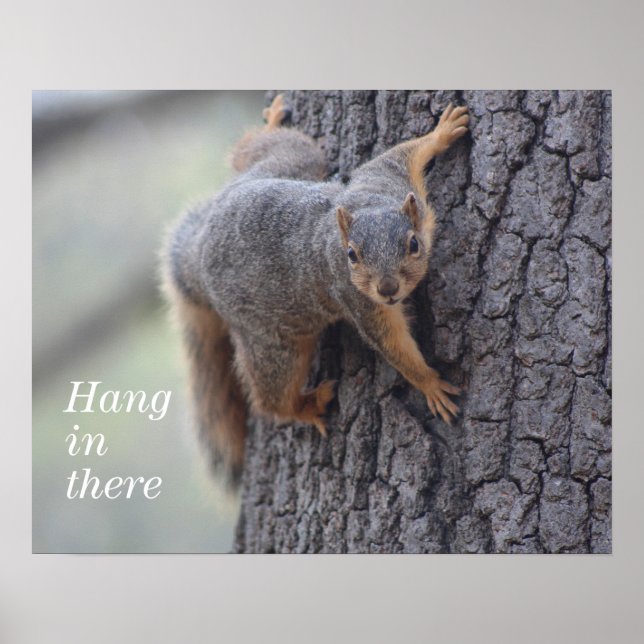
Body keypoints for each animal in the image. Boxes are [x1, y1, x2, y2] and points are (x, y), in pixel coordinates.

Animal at [163, 94, 469, 486]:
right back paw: (305, 406)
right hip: (273, 344)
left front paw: (441, 131)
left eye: (413, 244)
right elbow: (393, 344)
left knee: (260, 151)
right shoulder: (358, 301)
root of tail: (199, 252)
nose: (387, 289)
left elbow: (401, 153)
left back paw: (269, 124)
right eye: (352, 255)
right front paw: (429, 384)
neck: (369, 205)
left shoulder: (388, 180)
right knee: (271, 397)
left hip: (289, 163)